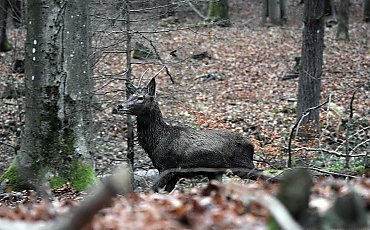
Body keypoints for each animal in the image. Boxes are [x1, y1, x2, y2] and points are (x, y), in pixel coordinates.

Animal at [117, 78, 258, 191]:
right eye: (130, 95)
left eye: (141, 97)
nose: (120, 105)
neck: (157, 141)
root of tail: (252, 144)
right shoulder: (174, 174)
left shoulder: (168, 167)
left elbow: (151, 190)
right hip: (217, 172)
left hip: (242, 164)